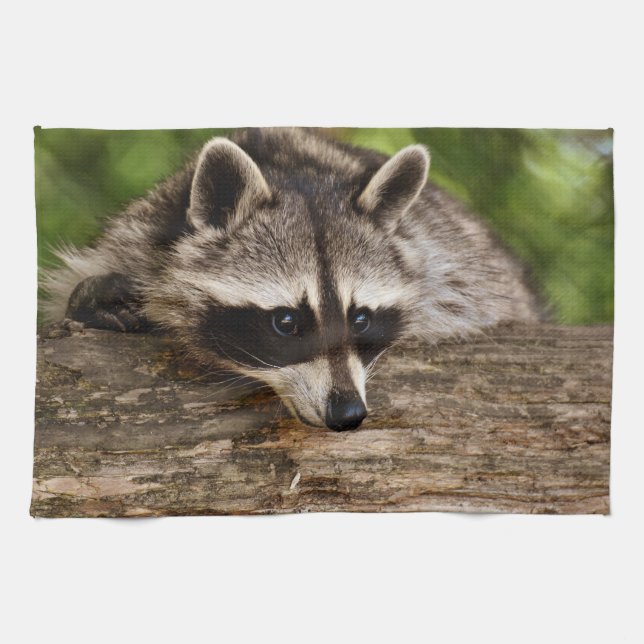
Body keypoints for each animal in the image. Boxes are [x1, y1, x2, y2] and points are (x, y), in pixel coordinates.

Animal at [42, 128, 541, 430]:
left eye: (360, 319)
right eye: (286, 322)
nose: (348, 414)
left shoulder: (450, 262)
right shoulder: (137, 234)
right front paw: (94, 299)